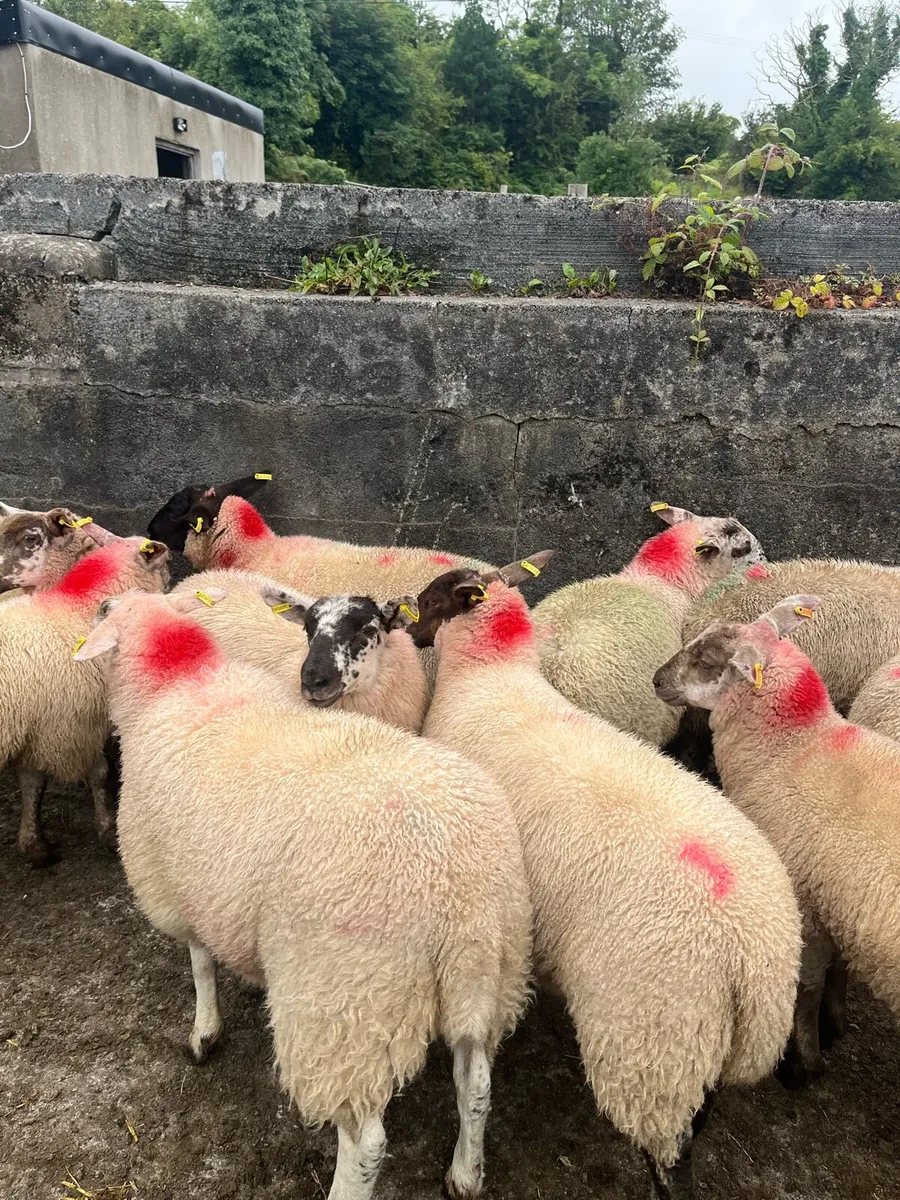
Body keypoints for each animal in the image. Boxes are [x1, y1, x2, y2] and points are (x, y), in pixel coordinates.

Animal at [0, 536, 169, 866]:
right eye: (164, 563)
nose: (171, 579)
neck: (77, 613)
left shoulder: (37, 726)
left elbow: (31, 782)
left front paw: (33, 842)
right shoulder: (71, 728)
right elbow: (97, 773)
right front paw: (107, 828)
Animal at [74, 587, 531, 1200]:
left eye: (106, 613)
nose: (98, 604)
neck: (176, 682)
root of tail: (458, 887)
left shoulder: (177, 883)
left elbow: (199, 963)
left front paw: (204, 1032)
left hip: (344, 1006)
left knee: (365, 1141)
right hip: (489, 977)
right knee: (476, 1085)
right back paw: (464, 1172)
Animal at [418, 559, 801, 1199]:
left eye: (430, 601)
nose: (407, 627)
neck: (488, 675)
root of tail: (758, 961)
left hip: (654, 1042)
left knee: (670, 1156)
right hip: (699, 1050)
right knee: (698, 1119)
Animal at [653, 595, 900, 1086]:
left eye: (707, 661)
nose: (656, 679)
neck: (792, 749)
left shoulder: (806, 901)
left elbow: (806, 987)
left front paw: (804, 1062)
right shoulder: (839, 905)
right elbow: (839, 968)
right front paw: (835, 1022)